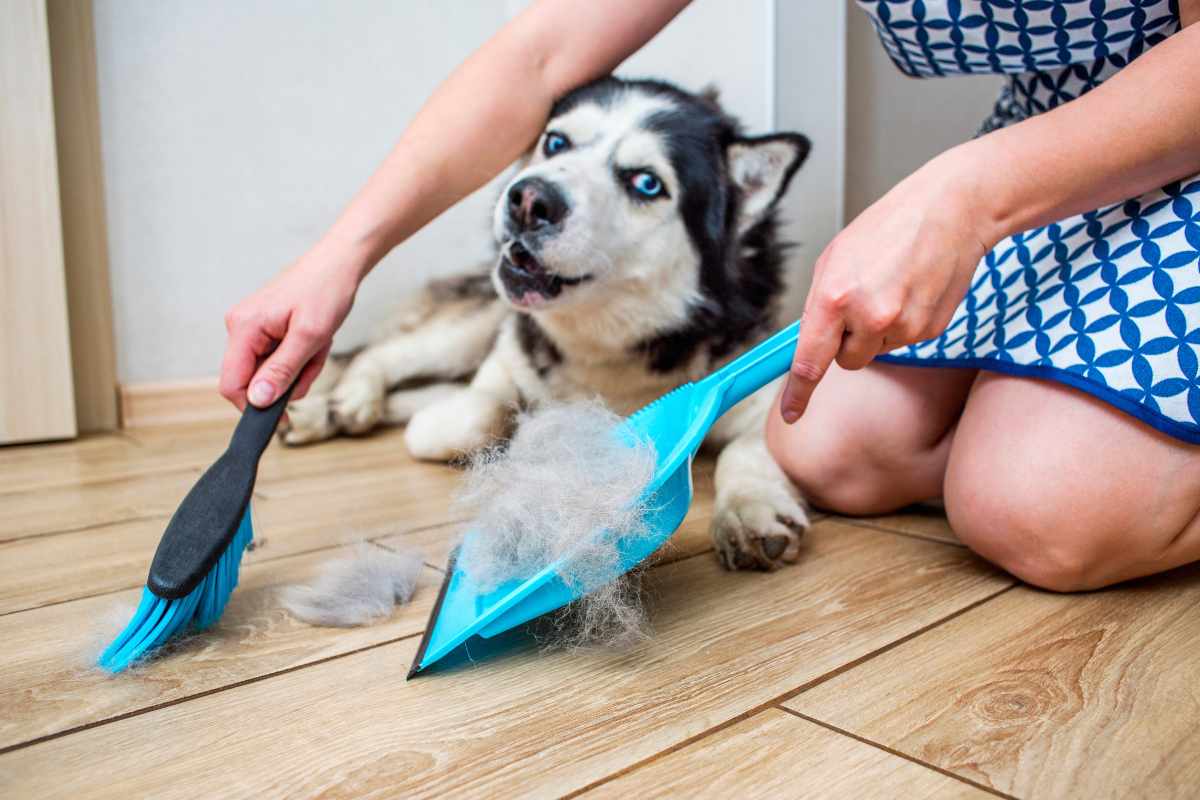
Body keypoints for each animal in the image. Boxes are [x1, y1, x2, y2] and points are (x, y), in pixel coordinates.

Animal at [283, 77, 806, 573]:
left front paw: (751, 507)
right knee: (381, 356)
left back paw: (322, 412)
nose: (530, 199)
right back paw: (348, 400)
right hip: (472, 329)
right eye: (556, 143)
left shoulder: (755, 384)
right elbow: (480, 413)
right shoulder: (502, 369)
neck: (605, 351)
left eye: (646, 183)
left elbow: (753, 446)